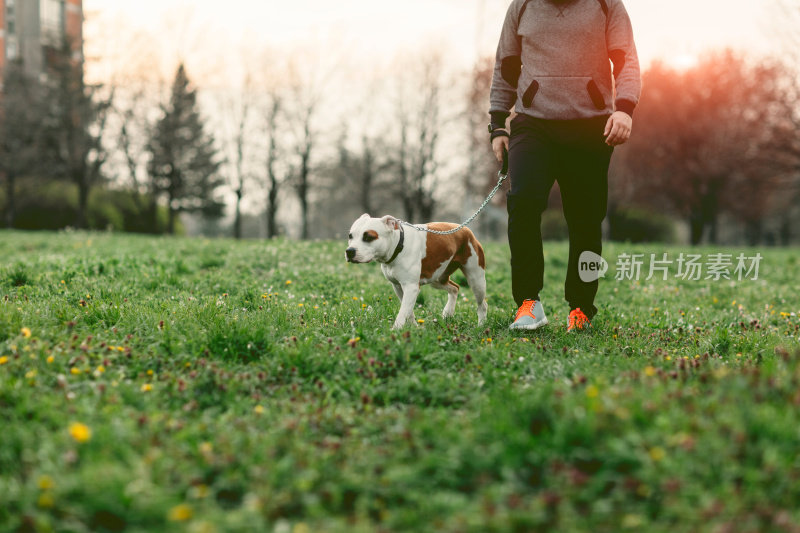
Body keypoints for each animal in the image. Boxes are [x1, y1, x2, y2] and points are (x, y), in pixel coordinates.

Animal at [346, 212, 488, 328]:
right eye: (350, 236)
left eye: (369, 237)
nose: (350, 251)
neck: (398, 246)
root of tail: (465, 229)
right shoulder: (398, 286)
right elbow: (408, 310)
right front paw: (414, 327)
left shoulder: (411, 287)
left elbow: (403, 312)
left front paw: (396, 331)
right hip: (437, 277)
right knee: (455, 288)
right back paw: (448, 313)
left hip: (476, 279)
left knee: (482, 304)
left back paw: (481, 326)